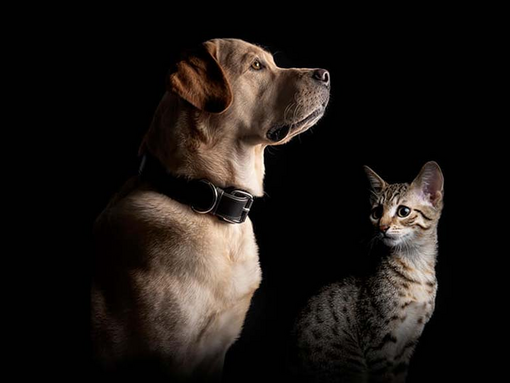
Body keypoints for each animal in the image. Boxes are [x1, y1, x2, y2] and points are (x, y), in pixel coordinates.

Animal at [292, 163, 444, 383]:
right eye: (376, 212)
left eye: (403, 211)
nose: (382, 227)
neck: (416, 265)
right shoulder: (379, 342)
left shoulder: (408, 342)